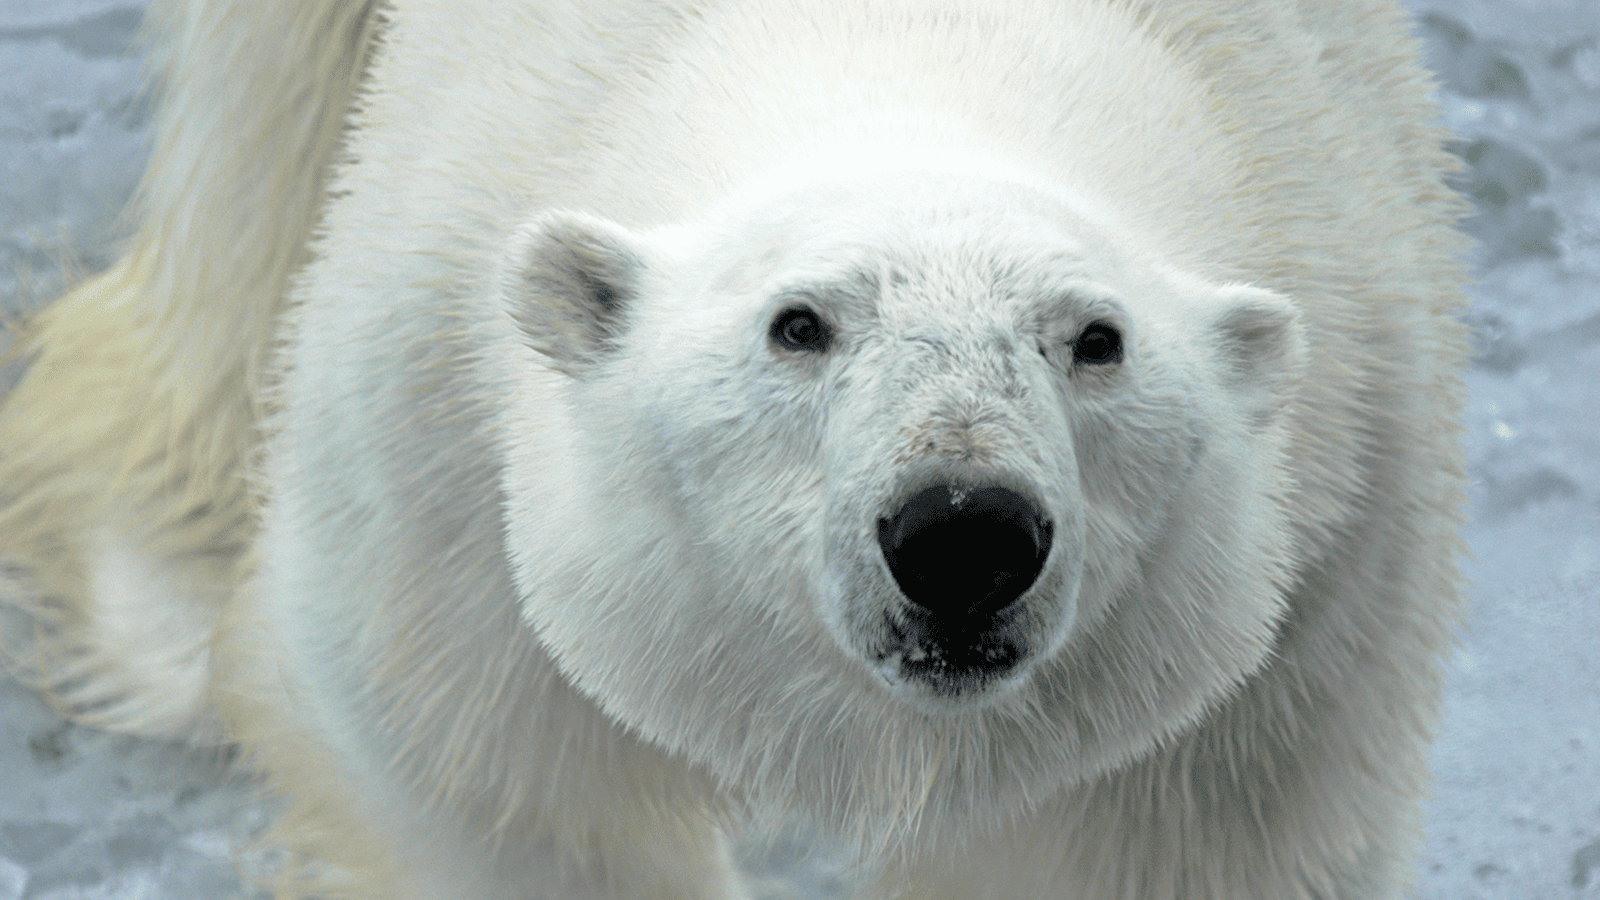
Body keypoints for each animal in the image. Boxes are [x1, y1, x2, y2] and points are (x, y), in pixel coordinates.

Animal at [0, 0, 1472, 898]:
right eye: (798, 323)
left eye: (1094, 338)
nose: (962, 535)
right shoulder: (437, 421)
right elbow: (493, 773)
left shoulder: (1321, 554)